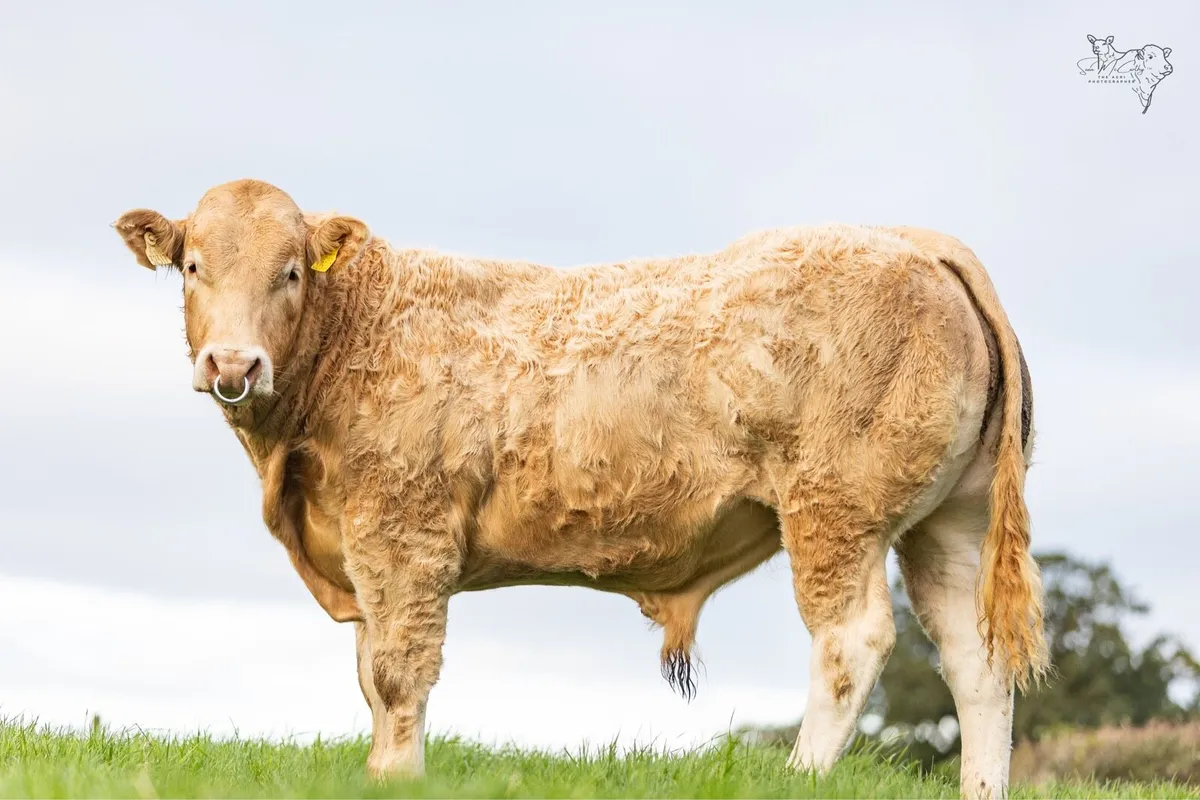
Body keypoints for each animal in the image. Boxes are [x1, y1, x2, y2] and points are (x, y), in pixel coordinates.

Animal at [114, 179, 1047, 799]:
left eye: (292, 273)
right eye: (192, 266)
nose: (233, 364)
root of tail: (917, 239)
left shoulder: (402, 528)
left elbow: (396, 670)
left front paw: (398, 775)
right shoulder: (366, 543)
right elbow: (369, 674)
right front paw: (382, 770)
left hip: (834, 508)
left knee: (852, 642)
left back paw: (802, 775)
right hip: (949, 521)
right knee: (975, 658)